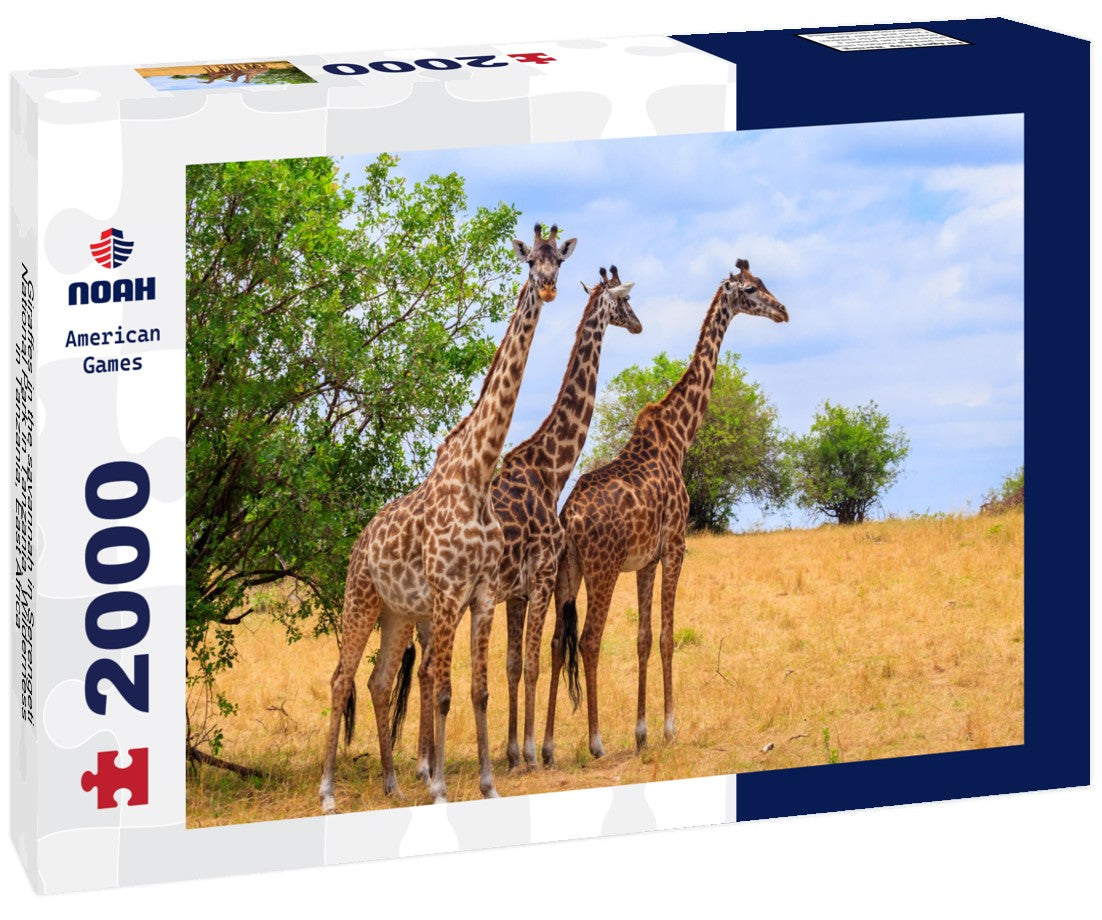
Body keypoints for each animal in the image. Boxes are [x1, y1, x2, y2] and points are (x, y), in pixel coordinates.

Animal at [318, 223, 576, 812]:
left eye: (561, 261)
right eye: (530, 261)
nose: (549, 287)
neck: (477, 476)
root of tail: (360, 540)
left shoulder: (479, 594)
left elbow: (477, 689)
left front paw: (489, 783)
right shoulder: (446, 592)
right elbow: (441, 689)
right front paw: (437, 788)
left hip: (394, 613)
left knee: (378, 681)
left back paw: (391, 784)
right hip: (360, 599)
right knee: (341, 678)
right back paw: (328, 792)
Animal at [390, 266, 642, 771]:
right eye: (625, 303)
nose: (640, 325)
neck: (551, 468)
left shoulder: (515, 593)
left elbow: (509, 665)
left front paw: (509, 752)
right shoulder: (541, 577)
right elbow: (531, 663)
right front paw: (530, 751)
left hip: (428, 610)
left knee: (419, 669)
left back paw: (424, 761)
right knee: (424, 669)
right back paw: (426, 763)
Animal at [542, 259, 788, 764]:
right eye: (752, 290)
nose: (783, 311)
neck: (679, 435)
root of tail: (569, 518)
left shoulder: (645, 561)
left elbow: (642, 638)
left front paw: (641, 733)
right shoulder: (675, 545)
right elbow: (668, 636)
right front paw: (670, 728)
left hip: (566, 572)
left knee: (558, 641)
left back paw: (549, 746)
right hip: (601, 569)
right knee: (590, 639)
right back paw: (595, 742)